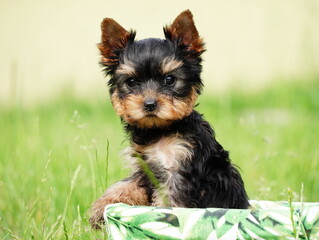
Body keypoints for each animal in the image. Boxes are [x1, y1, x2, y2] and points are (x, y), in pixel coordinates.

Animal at [90, 9, 250, 230]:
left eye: (169, 80)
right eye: (131, 82)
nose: (149, 104)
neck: (159, 130)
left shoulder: (180, 167)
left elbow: (170, 200)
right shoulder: (145, 167)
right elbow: (126, 184)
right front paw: (102, 206)